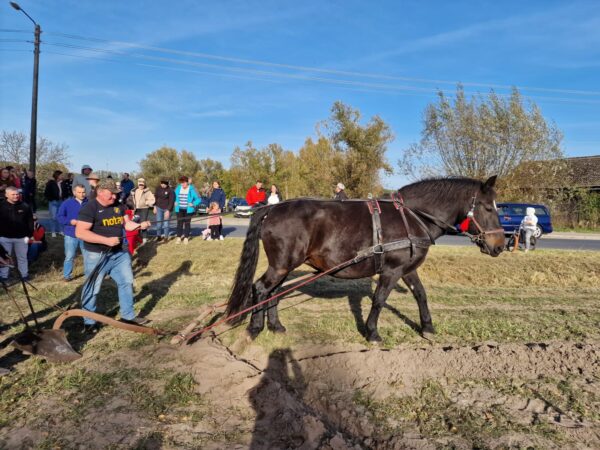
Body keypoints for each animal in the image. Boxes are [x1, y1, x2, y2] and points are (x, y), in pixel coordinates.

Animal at [227, 175, 504, 342]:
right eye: (487, 207)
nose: (501, 245)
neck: (412, 216)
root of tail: (272, 208)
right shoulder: (391, 270)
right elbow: (379, 300)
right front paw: (372, 332)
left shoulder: (407, 269)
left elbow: (420, 295)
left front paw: (427, 327)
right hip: (282, 264)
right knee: (261, 289)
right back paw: (254, 328)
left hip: (285, 266)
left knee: (273, 292)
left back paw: (276, 326)